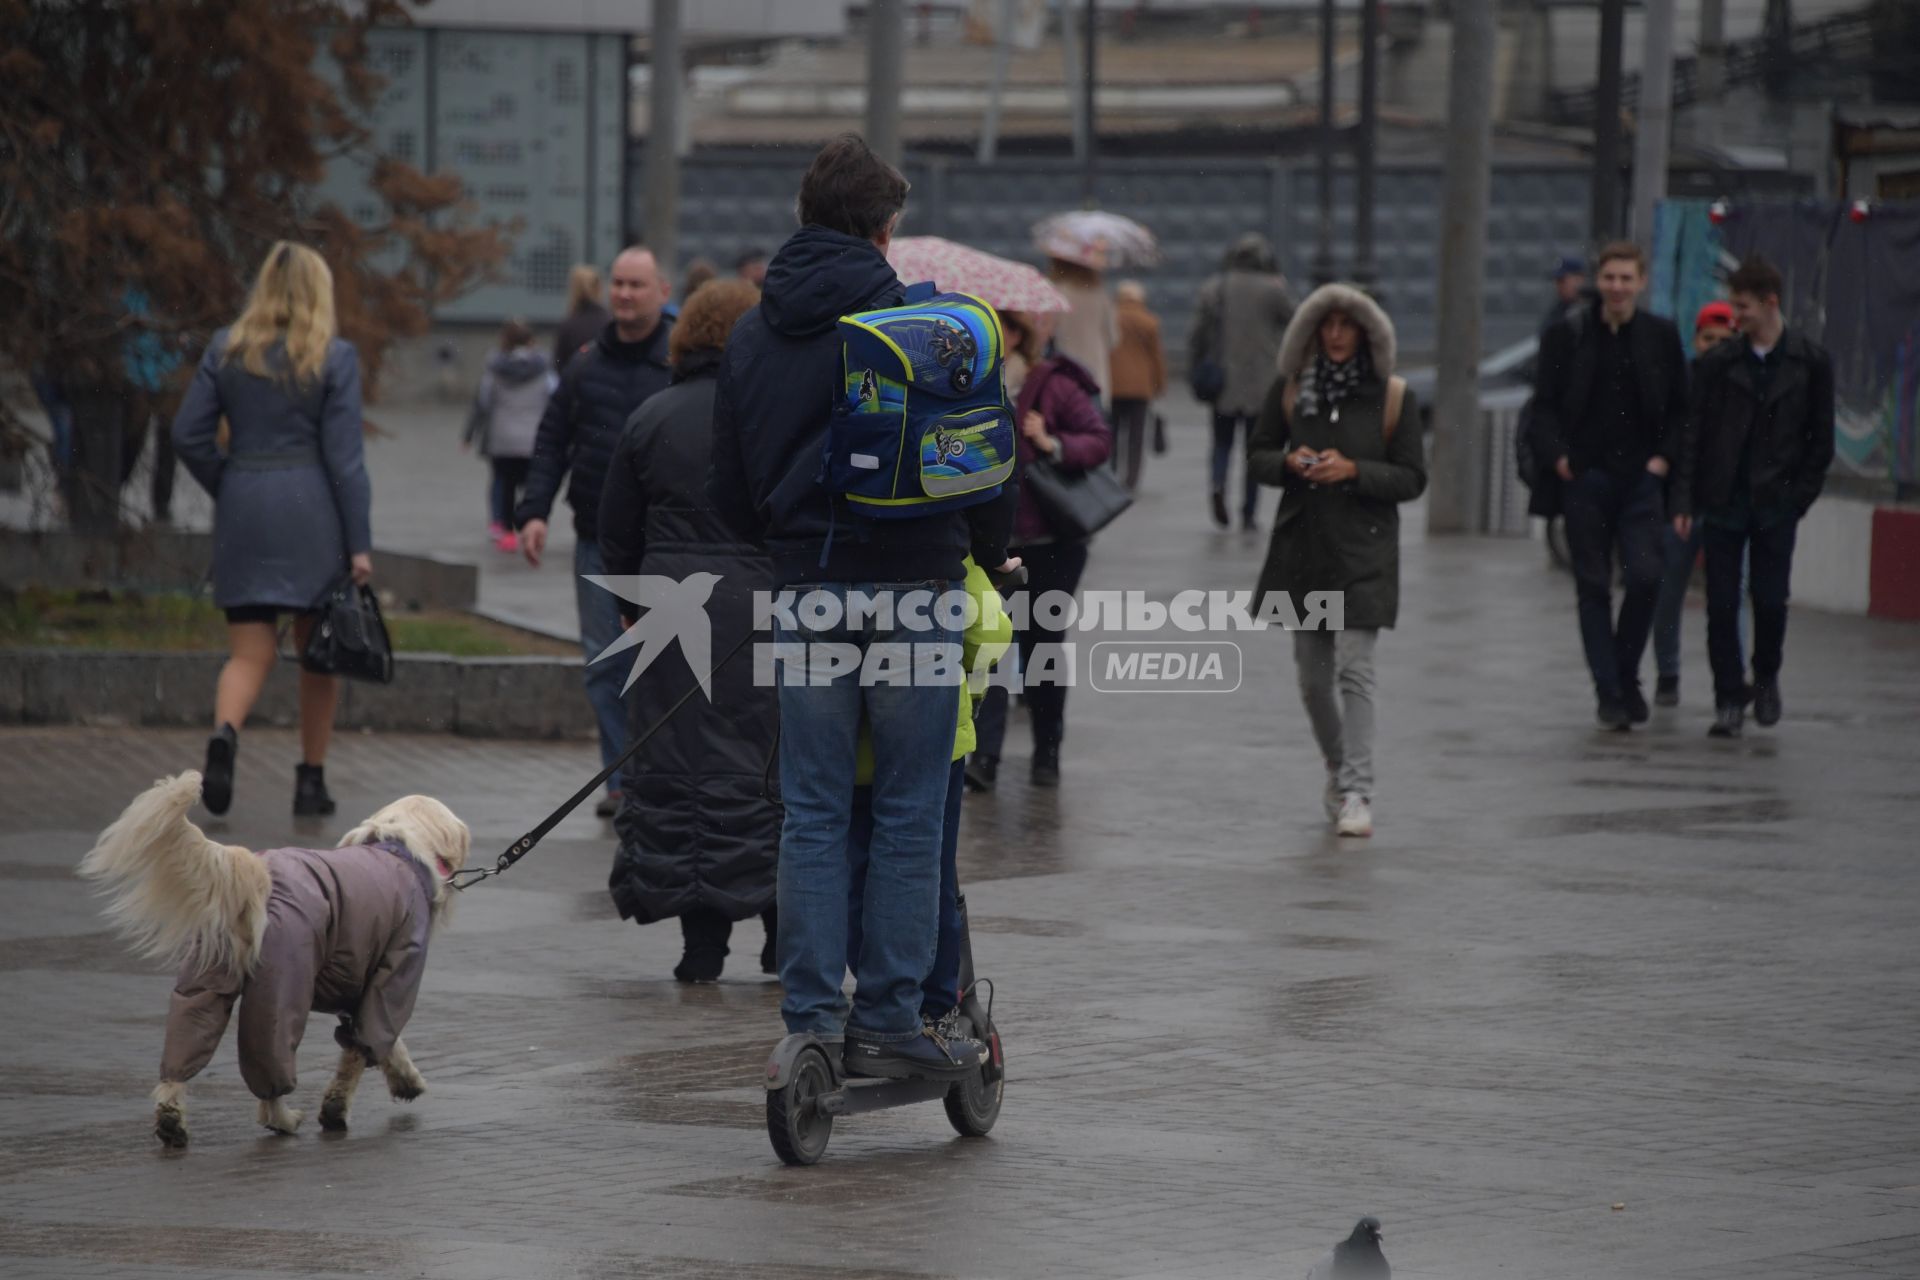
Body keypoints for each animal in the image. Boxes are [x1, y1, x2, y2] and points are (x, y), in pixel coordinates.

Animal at [81, 771, 472, 1151]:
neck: (399, 851)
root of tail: (260, 873)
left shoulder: (357, 978)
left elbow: (382, 1042)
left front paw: (406, 1080)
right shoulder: (394, 972)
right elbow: (362, 1049)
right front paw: (337, 1108)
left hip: (207, 976)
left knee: (182, 1052)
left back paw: (171, 1118)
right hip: (283, 982)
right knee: (270, 1066)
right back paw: (282, 1118)